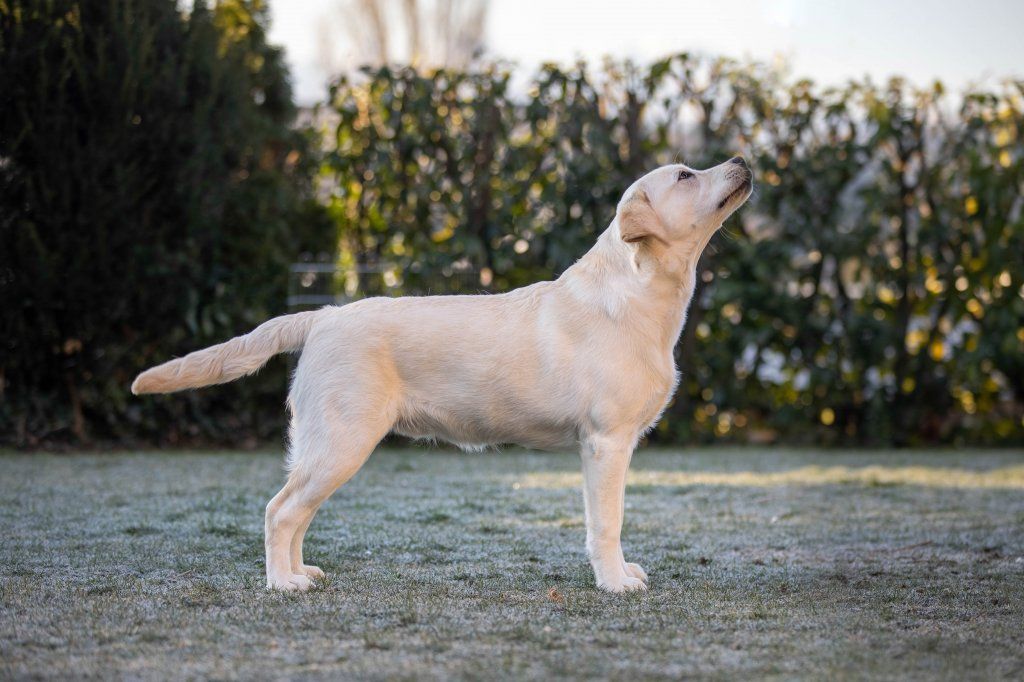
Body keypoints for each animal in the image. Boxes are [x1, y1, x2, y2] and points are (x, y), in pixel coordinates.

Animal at [132, 157, 753, 592]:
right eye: (685, 175)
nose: (743, 159)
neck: (639, 292)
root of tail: (323, 315)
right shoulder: (606, 442)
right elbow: (608, 523)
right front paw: (615, 581)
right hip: (341, 440)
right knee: (279, 511)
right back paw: (282, 583)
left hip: (324, 446)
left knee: (293, 511)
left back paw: (300, 572)